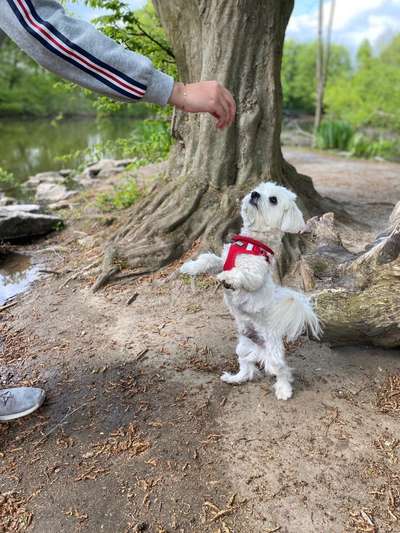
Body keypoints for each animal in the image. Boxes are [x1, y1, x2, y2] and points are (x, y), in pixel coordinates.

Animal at [181, 183, 322, 400]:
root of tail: (260, 348)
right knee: (247, 367)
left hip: (273, 356)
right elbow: (210, 260)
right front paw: (191, 267)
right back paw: (235, 378)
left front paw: (228, 278)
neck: (252, 242)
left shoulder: (255, 274)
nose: (254, 195)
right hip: (243, 347)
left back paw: (284, 390)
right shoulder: (223, 260)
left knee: (282, 370)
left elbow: (241, 274)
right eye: (258, 189)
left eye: (273, 199)